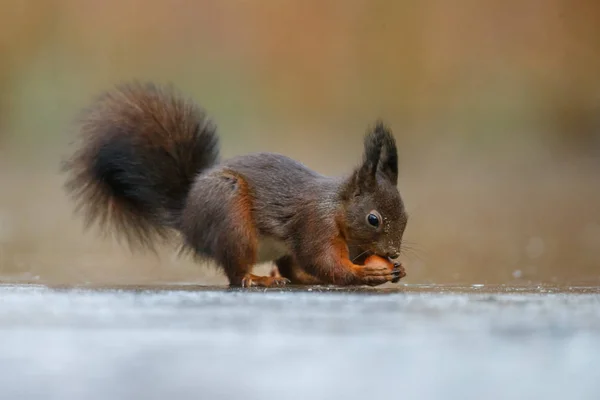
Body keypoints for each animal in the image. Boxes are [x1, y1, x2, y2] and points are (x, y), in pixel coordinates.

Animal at [61, 82, 408, 288]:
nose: (392, 251)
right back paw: (257, 279)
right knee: (236, 272)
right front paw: (367, 273)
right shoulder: (315, 225)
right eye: (373, 219)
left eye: (406, 218)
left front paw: (396, 269)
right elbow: (325, 262)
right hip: (231, 218)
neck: (337, 207)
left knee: (290, 268)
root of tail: (187, 214)